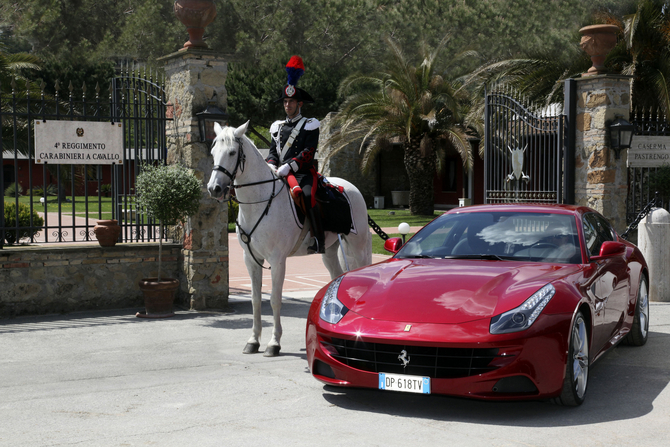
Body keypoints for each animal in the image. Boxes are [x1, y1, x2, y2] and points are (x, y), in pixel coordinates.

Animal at [206, 121, 372, 356]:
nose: (214, 188)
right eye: (213, 153)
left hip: (357, 247)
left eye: (231, 152)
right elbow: (255, 300)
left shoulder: (277, 260)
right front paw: (253, 340)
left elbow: (275, 300)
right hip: (330, 252)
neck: (259, 202)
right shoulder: (251, 259)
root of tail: (349, 187)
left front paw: (274, 343)